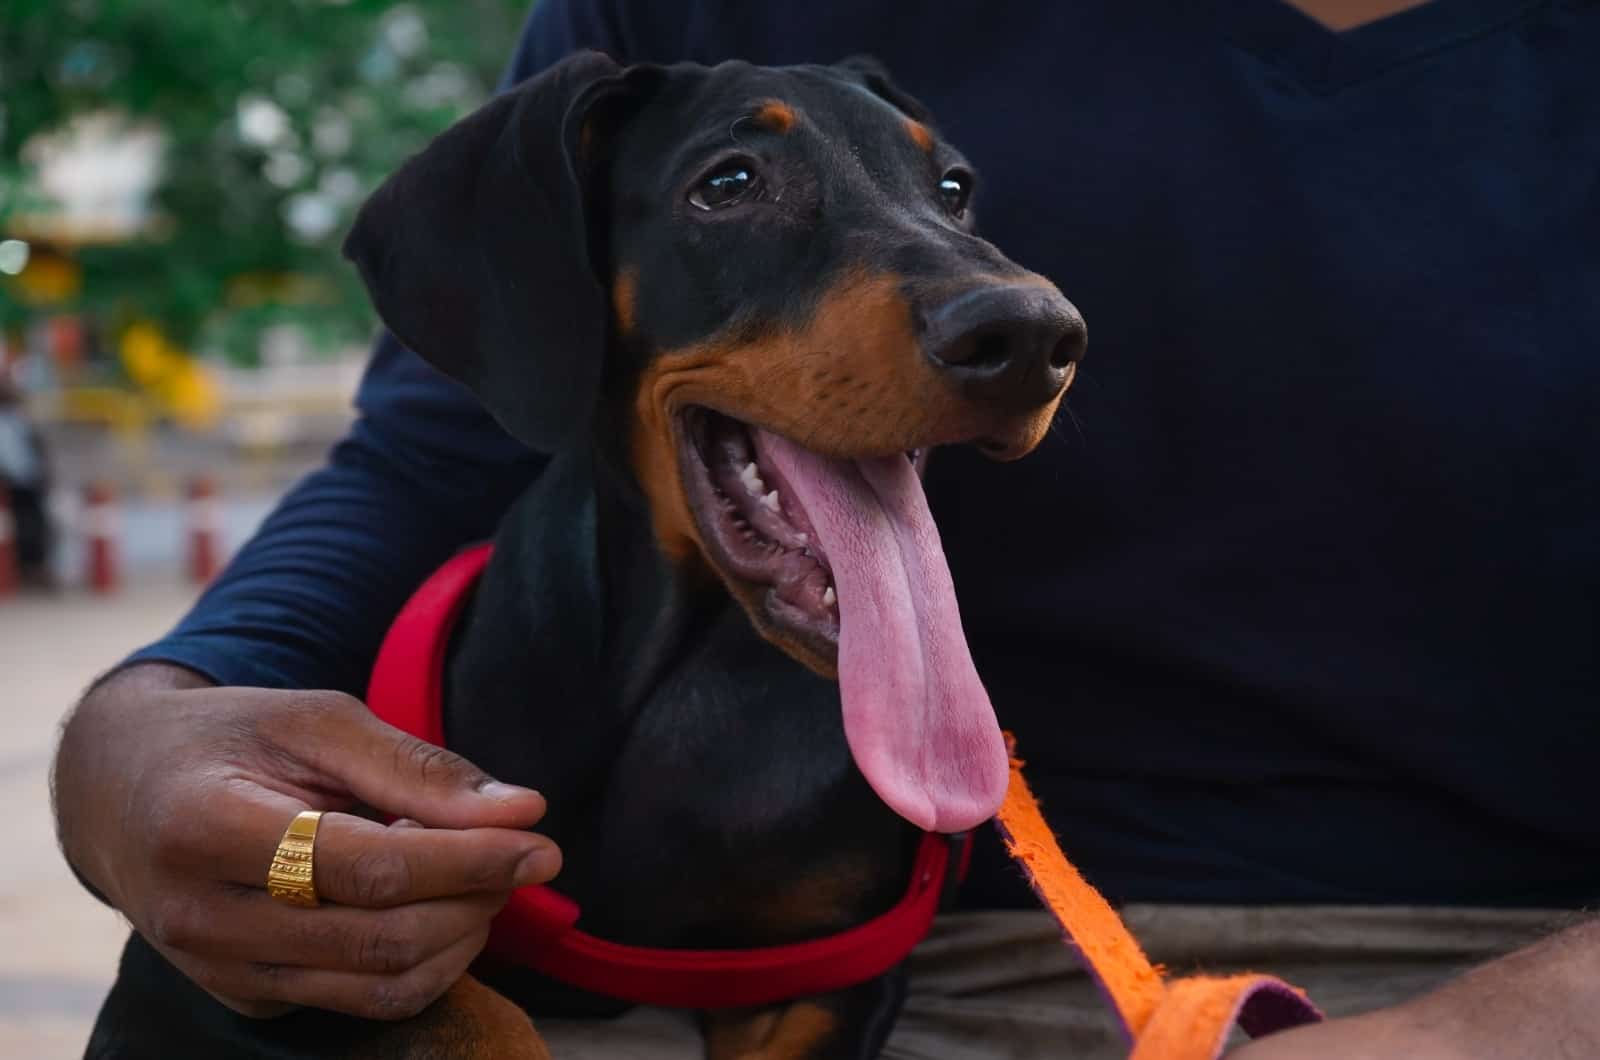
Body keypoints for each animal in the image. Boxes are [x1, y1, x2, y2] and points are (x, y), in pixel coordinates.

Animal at [90, 45, 1088, 1056]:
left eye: (954, 190)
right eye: (728, 184)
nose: (1030, 336)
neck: (670, 677)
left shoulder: (831, 972)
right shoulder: (237, 965)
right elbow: (463, 1005)